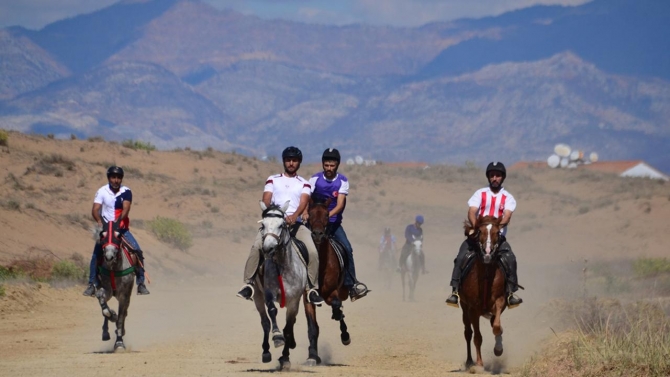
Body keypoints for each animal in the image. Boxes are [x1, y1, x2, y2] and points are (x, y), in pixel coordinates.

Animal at [94, 220, 136, 350]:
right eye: (102, 235)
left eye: (118, 236)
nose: (109, 257)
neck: (114, 268)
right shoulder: (106, 289)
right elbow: (105, 309)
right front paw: (112, 315)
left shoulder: (124, 295)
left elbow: (121, 318)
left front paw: (119, 343)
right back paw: (105, 332)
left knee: (125, 313)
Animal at [252, 201, 316, 368]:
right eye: (263, 225)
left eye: (281, 225)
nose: (268, 248)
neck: (283, 266)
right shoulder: (268, 294)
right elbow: (272, 312)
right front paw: (277, 337)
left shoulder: (294, 300)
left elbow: (288, 327)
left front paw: (286, 357)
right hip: (257, 296)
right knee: (265, 322)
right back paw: (266, 352)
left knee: (290, 323)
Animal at [304, 197, 354, 364]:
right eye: (310, 213)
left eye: (327, 214)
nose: (318, 234)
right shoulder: (307, 296)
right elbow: (312, 327)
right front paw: (312, 356)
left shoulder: (332, 292)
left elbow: (337, 306)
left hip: (343, 290)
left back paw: (345, 335)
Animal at [462, 216, 510, 366]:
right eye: (480, 231)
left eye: (497, 232)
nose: (487, 254)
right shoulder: (473, 309)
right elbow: (477, 337)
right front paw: (479, 364)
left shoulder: (500, 301)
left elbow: (497, 326)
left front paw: (498, 349)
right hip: (464, 308)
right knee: (468, 333)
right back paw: (469, 361)